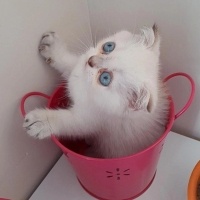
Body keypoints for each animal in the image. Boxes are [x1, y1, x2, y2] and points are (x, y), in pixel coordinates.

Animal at [24, 25, 170, 158]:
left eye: (105, 78)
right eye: (108, 46)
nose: (90, 61)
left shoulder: (89, 121)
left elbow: (67, 122)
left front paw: (40, 121)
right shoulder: (77, 67)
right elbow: (70, 62)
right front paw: (52, 48)